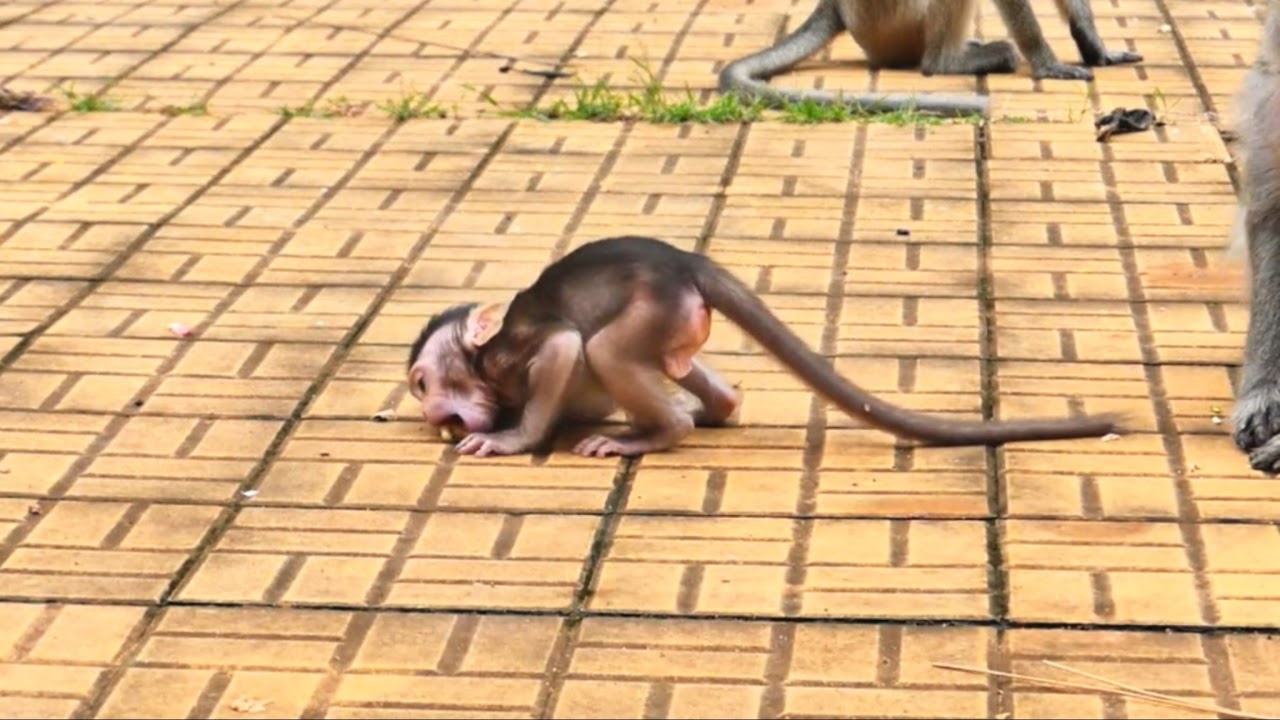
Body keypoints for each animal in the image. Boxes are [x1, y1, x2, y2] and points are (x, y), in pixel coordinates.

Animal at [406, 236, 1120, 458]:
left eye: (421, 382)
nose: (429, 411)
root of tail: (688, 263)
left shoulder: (510, 353)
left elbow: (560, 348)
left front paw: (511, 439)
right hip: (675, 320)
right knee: (672, 366)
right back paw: (712, 407)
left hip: (654, 305)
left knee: (606, 349)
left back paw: (657, 433)